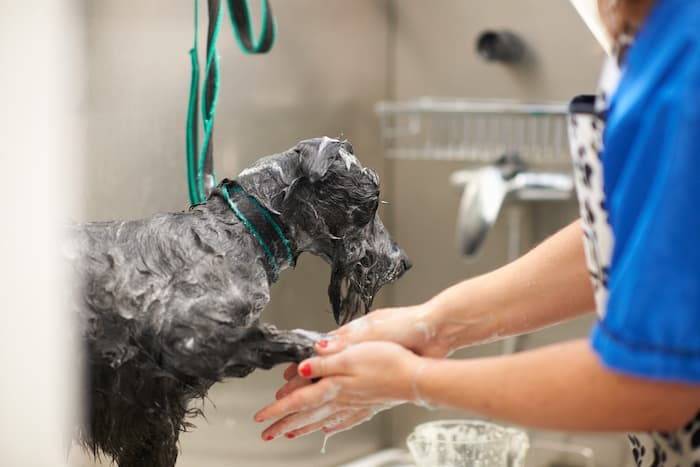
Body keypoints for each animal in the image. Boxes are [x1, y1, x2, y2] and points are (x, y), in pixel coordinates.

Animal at [65, 138, 410, 467]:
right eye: (373, 200)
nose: (404, 262)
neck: (241, 232)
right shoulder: (183, 348)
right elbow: (276, 339)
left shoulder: (151, 418)